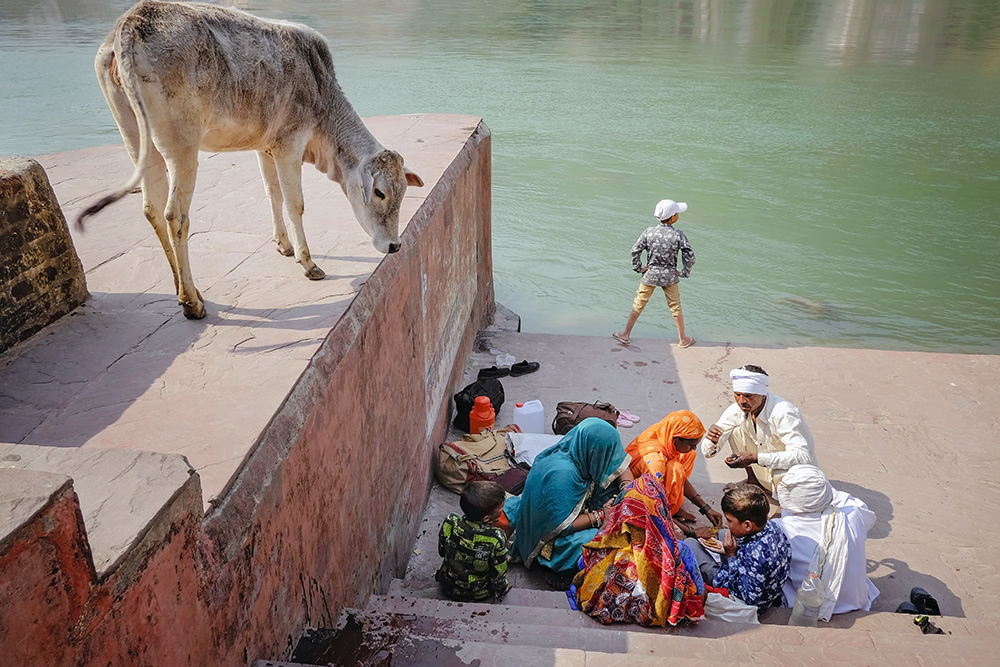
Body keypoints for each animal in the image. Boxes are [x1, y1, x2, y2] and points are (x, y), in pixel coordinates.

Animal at [77, 0, 422, 318]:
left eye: (403, 192)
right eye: (380, 193)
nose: (394, 245)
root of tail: (131, 20)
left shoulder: (265, 147)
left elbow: (273, 194)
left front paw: (284, 246)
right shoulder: (289, 145)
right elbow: (295, 204)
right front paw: (308, 263)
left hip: (137, 138)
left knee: (151, 208)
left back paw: (182, 289)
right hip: (181, 145)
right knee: (175, 214)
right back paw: (192, 303)